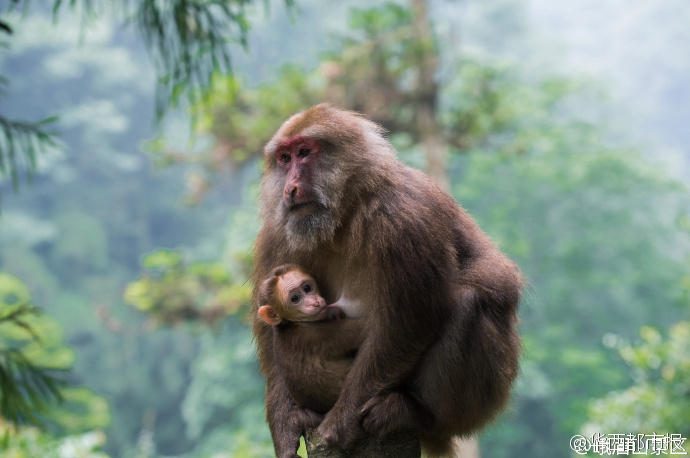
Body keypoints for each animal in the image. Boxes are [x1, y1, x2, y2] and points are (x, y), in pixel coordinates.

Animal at [256, 262, 362, 416]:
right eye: (295, 298)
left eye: (307, 288)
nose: (315, 302)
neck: (291, 323)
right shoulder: (316, 335)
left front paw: (332, 312)